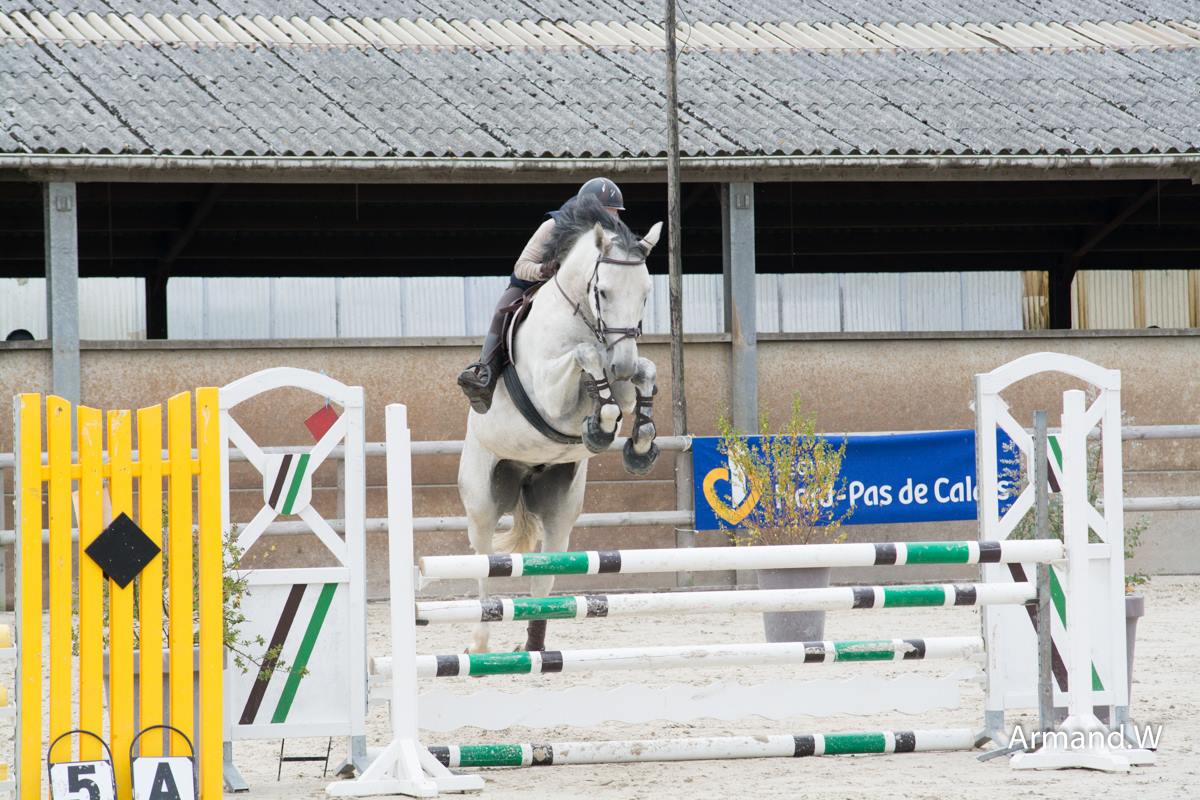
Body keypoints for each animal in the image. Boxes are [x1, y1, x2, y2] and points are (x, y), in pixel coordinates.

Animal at [458, 196, 667, 652]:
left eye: (646, 294)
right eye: (603, 291)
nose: (621, 365)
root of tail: (523, 473)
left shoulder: (623, 377)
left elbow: (641, 374)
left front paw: (639, 441)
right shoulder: (550, 396)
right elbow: (586, 358)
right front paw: (602, 424)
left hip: (559, 508)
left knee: (544, 576)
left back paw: (533, 647)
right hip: (482, 501)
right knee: (485, 566)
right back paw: (479, 644)